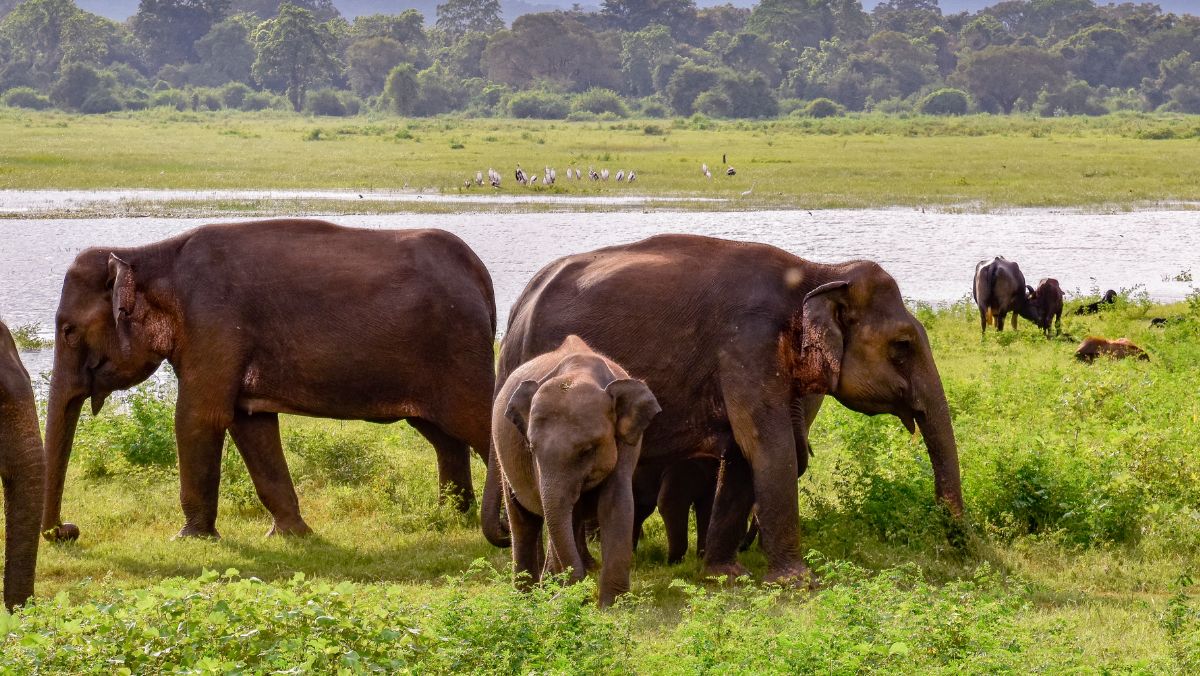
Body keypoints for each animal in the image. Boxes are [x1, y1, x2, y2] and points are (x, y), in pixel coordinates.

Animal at [41, 219, 497, 543]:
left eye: (68, 331)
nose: (68, 531)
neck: (148, 254)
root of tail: (480, 274)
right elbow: (250, 424)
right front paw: (291, 535)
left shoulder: (214, 322)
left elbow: (198, 418)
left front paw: (188, 539)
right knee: (443, 436)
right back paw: (450, 516)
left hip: (458, 350)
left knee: (477, 422)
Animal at [494, 335, 660, 607]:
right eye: (531, 447)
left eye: (587, 450)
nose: (560, 593)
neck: (580, 372)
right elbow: (558, 512)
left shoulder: (626, 445)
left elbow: (616, 503)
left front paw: (611, 606)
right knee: (523, 520)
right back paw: (526, 598)